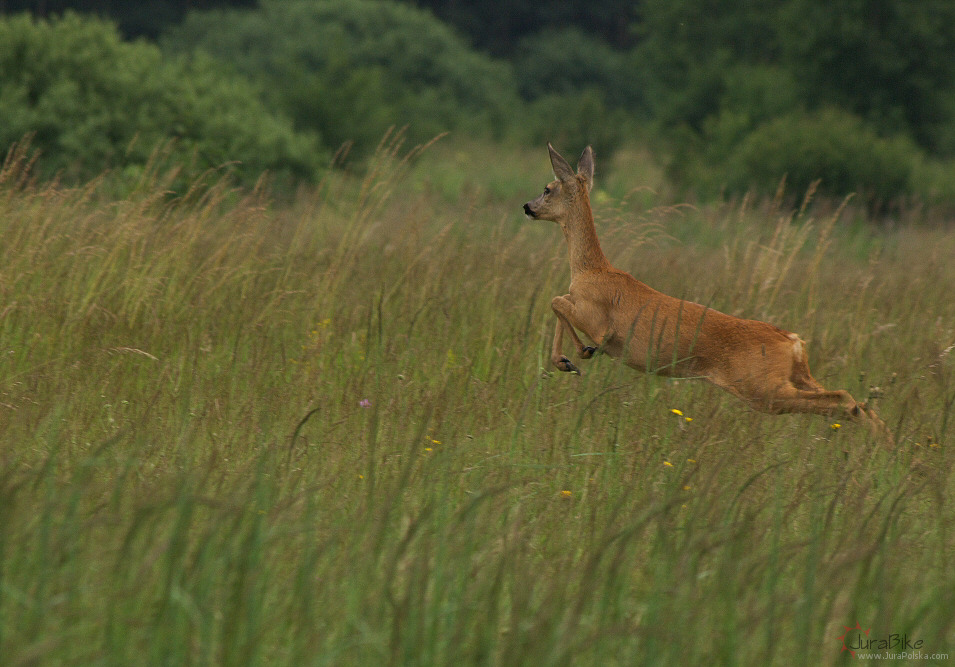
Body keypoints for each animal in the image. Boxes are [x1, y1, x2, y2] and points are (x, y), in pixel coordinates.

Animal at [524, 144, 888, 440]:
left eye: (548, 188)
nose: (527, 206)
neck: (591, 269)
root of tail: (793, 341)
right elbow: (558, 302)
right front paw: (566, 361)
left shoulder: (596, 317)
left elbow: (557, 301)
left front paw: (578, 354)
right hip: (796, 376)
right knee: (853, 400)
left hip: (763, 387)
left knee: (841, 399)